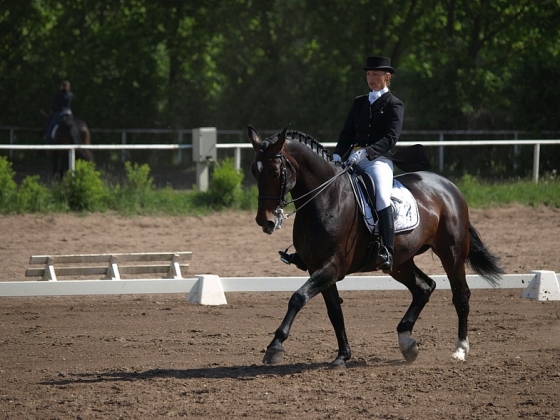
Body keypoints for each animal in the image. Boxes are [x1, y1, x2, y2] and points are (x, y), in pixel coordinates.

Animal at [248, 126, 504, 370]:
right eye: (254, 172)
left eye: (275, 172)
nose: (265, 221)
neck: (326, 197)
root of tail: (449, 186)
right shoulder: (316, 267)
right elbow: (334, 311)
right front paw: (342, 356)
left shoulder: (333, 266)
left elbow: (298, 297)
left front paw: (275, 346)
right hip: (399, 263)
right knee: (424, 287)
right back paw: (407, 342)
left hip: (451, 254)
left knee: (460, 295)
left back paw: (459, 349)